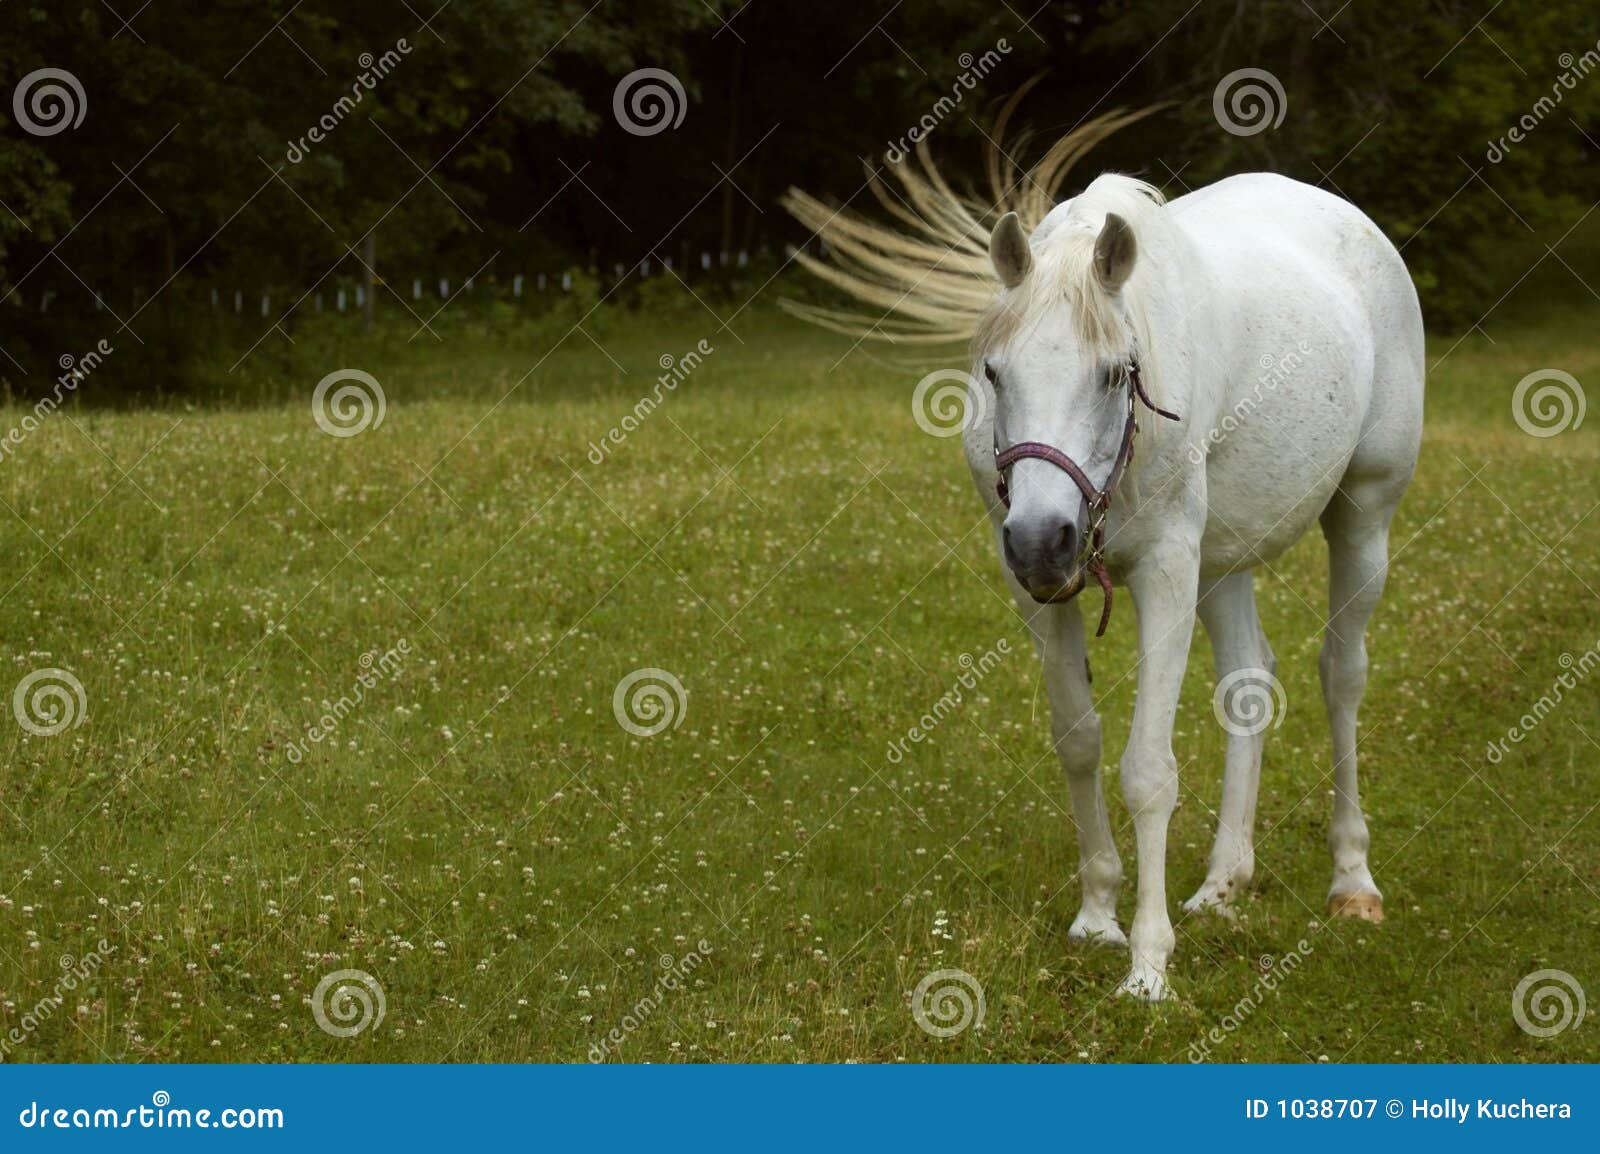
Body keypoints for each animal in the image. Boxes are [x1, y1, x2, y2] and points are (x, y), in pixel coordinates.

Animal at [783, 110, 1424, 1000]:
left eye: (1119, 373)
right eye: (993, 370)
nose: (1042, 537)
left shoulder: (1164, 571)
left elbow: (1148, 770)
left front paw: (1149, 966)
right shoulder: (1038, 589)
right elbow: (1079, 741)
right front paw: (1097, 915)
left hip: (1363, 516)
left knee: (1342, 676)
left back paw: (1353, 882)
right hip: (1221, 563)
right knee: (1249, 684)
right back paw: (1223, 884)